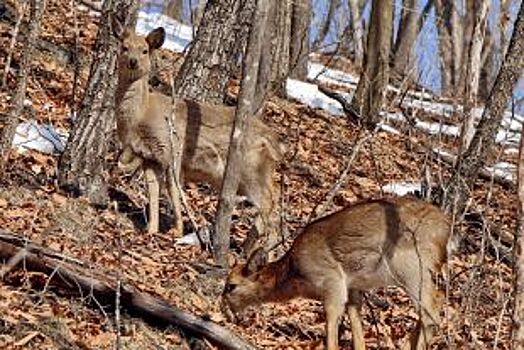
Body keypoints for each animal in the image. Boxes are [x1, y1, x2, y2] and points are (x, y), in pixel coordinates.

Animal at [114, 27, 284, 245]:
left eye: (144, 50)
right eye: (124, 47)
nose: (132, 61)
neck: (141, 115)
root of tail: (276, 142)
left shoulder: (173, 150)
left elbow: (173, 190)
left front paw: (176, 231)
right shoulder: (148, 157)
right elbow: (153, 191)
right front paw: (151, 229)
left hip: (252, 169)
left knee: (269, 209)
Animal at [221, 197, 450, 350]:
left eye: (231, 285)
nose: (224, 311)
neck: (294, 276)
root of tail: (447, 230)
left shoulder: (332, 280)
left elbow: (331, 325)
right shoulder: (354, 288)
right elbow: (357, 328)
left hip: (410, 266)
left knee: (432, 308)